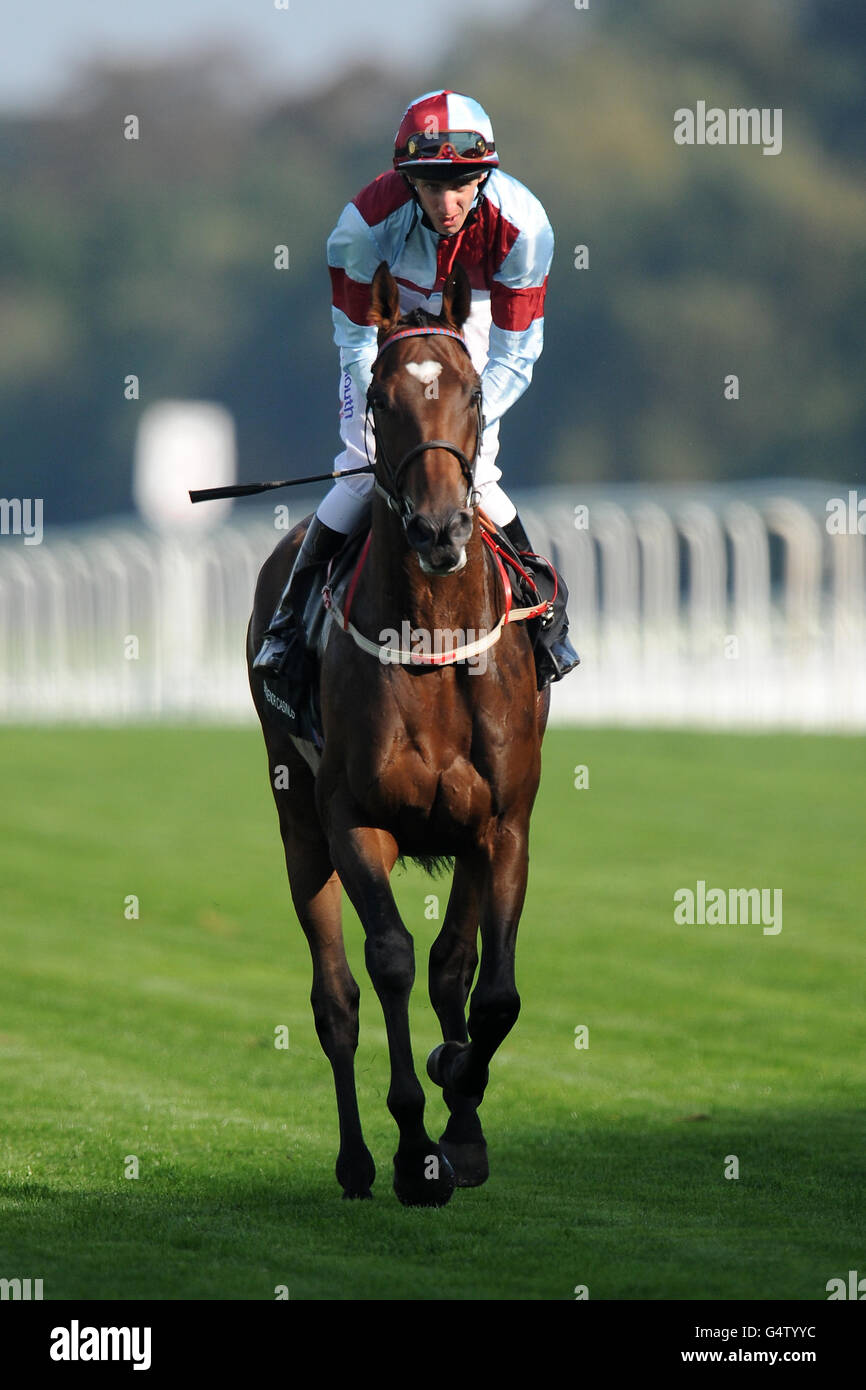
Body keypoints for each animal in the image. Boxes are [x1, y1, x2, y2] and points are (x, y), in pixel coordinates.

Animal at [247, 262, 553, 1206]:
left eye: (474, 394)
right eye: (380, 399)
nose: (440, 529)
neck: (431, 639)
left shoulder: (502, 823)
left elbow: (488, 990)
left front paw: (462, 1116)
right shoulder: (355, 820)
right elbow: (387, 962)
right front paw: (416, 1148)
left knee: (454, 967)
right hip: (297, 825)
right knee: (336, 1000)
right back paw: (356, 1160)